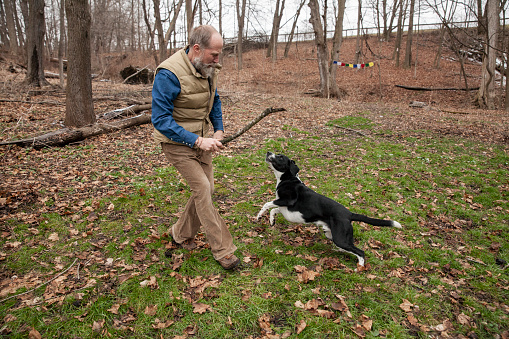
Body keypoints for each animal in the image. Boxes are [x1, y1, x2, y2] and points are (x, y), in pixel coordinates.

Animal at [256, 153, 402, 270]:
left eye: (280, 156)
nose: (268, 152)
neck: (288, 179)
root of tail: (349, 214)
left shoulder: (287, 201)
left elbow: (267, 204)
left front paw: (258, 216)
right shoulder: (284, 208)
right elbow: (273, 210)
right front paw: (271, 221)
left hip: (340, 238)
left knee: (360, 252)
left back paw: (359, 267)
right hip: (332, 235)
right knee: (350, 248)